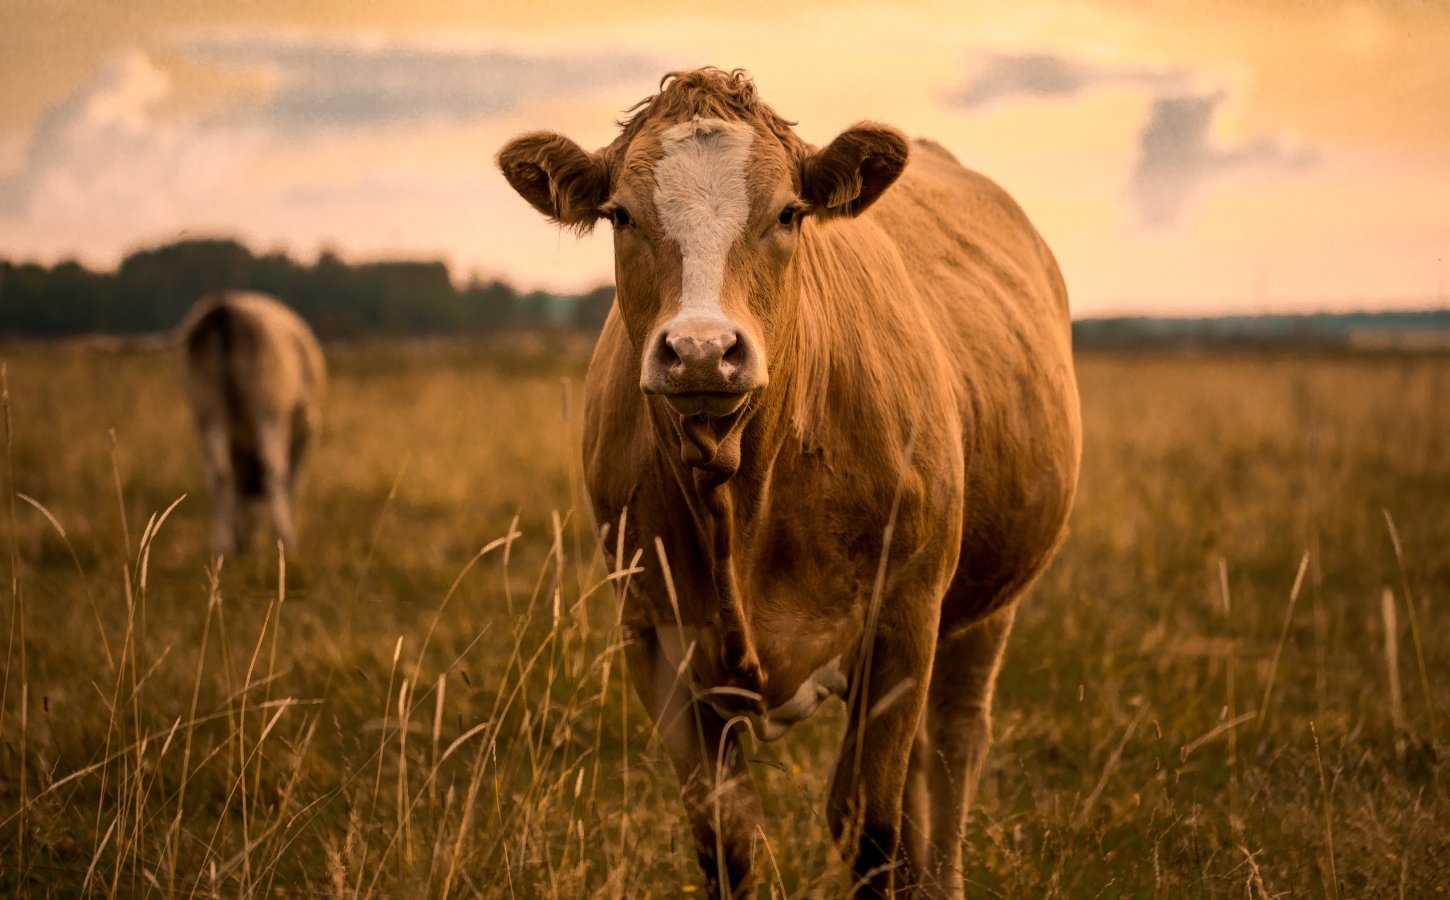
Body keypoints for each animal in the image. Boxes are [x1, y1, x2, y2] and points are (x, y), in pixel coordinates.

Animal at [176, 291, 324, 553]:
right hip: (268, 409)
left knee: (219, 474)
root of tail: (224, 310)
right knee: (273, 471)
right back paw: (285, 538)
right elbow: (292, 482)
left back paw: (221, 544)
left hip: (207, 408)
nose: (243, 543)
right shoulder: (306, 429)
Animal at [498, 66, 1078, 892]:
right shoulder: (654, 640)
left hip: (980, 609)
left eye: (787, 213)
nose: (702, 351)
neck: (741, 498)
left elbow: (870, 828)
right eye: (620, 216)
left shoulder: (903, 618)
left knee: (951, 751)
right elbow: (729, 840)